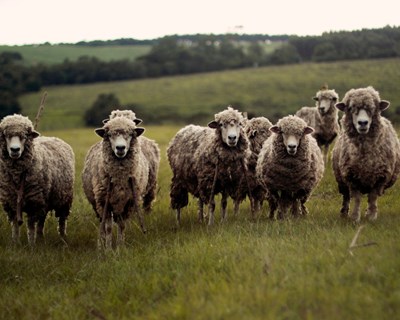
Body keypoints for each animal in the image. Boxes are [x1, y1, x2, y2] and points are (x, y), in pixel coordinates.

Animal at [0, 114, 75, 244]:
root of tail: (54, 138)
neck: (18, 175)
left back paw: (62, 237)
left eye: (25, 136)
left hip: (64, 198)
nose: (15, 150)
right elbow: (15, 225)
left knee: (62, 220)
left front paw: (31, 244)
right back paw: (40, 237)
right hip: (45, 199)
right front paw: (15, 243)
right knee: (42, 220)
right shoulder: (11, 202)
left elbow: (30, 227)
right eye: (5, 135)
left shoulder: (33, 203)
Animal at [82, 116, 160, 249]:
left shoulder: (128, 202)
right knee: (102, 224)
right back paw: (101, 242)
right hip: (97, 203)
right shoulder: (105, 202)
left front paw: (120, 248)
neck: (120, 178)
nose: (120, 148)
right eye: (109, 135)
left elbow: (122, 226)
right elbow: (108, 228)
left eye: (130, 134)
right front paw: (108, 249)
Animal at [332, 87, 400, 222]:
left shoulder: (379, 177)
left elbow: (372, 198)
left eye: (373, 108)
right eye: (351, 108)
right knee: (346, 197)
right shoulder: (351, 177)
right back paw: (343, 213)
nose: (362, 123)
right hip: (342, 181)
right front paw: (355, 218)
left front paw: (371, 217)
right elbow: (357, 199)